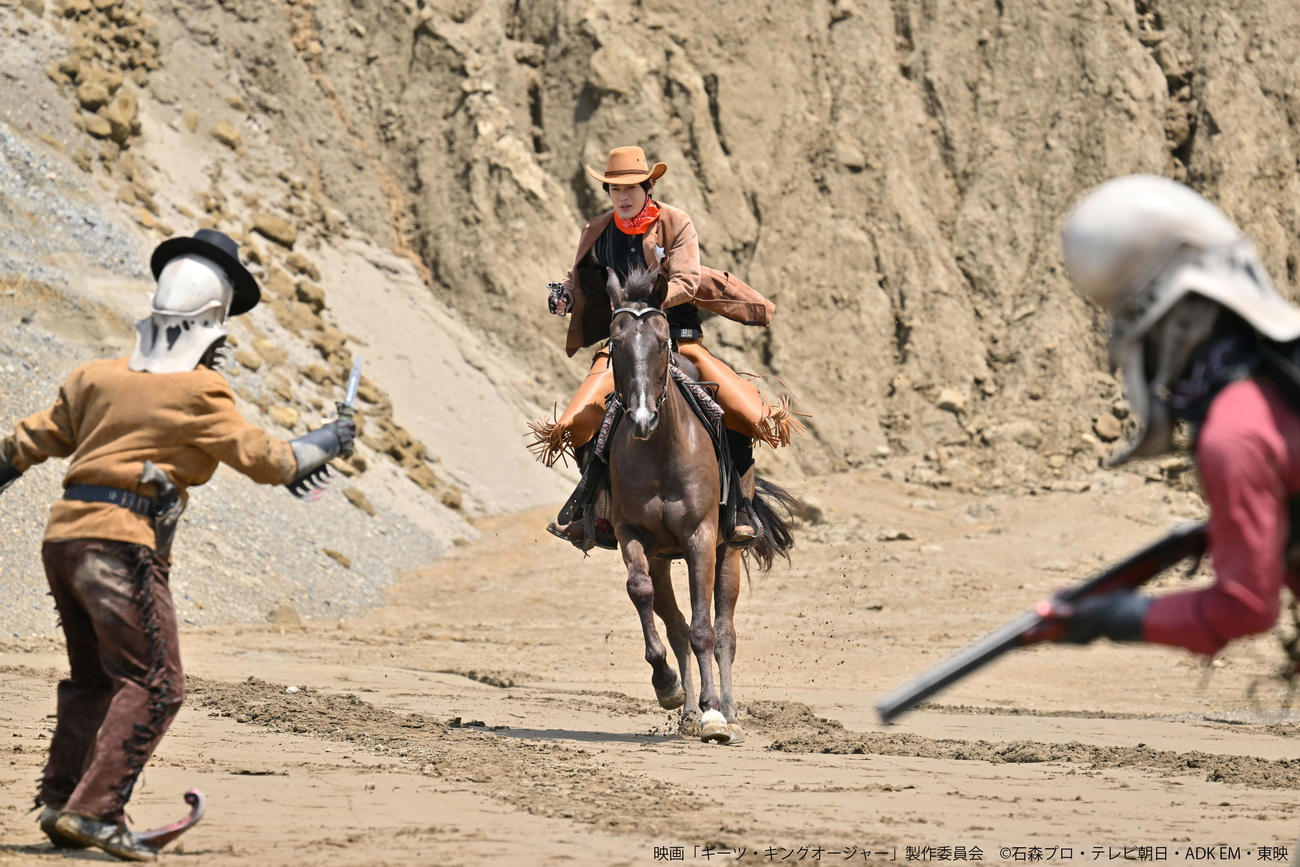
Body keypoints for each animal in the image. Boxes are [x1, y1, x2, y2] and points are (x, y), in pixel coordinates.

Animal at [603, 266, 796, 745]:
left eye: (662, 342)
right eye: (615, 343)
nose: (642, 419)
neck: (660, 451)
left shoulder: (701, 538)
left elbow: (704, 629)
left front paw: (714, 715)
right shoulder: (633, 536)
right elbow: (644, 596)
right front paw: (667, 686)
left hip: (728, 551)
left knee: (724, 630)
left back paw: (727, 712)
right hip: (661, 556)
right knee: (673, 623)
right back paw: (688, 711)